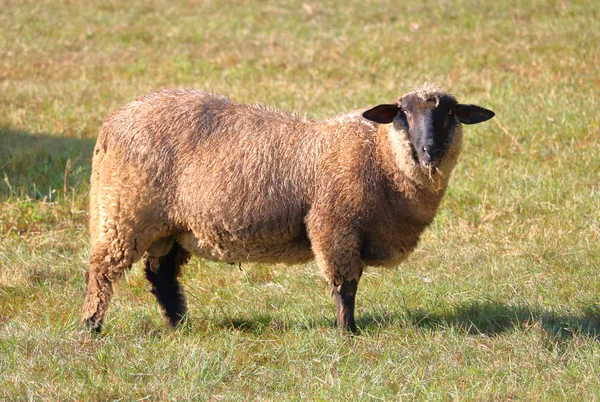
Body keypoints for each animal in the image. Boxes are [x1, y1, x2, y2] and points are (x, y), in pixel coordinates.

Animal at [83, 84, 496, 332]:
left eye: (450, 113)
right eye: (402, 113)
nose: (430, 150)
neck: (379, 158)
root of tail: (114, 121)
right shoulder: (334, 227)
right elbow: (346, 286)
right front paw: (348, 333)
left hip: (172, 226)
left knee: (161, 276)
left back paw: (180, 325)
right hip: (121, 213)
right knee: (101, 271)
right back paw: (92, 327)